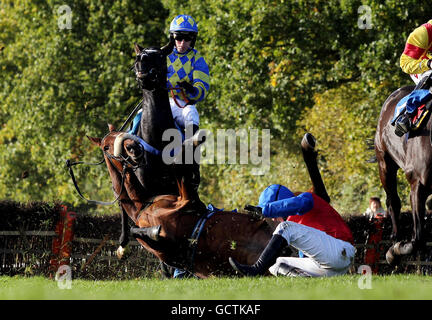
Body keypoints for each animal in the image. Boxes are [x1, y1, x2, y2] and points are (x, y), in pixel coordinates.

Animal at [88, 127, 330, 278]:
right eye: (106, 147)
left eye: (120, 134)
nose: (134, 148)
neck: (141, 207)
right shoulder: (181, 214)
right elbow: (145, 230)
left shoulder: (187, 203)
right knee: (317, 197)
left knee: (318, 195)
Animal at [374, 82, 432, 264]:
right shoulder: (417, 184)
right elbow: (418, 240)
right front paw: (396, 250)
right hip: (385, 164)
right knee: (393, 202)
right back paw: (395, 240)